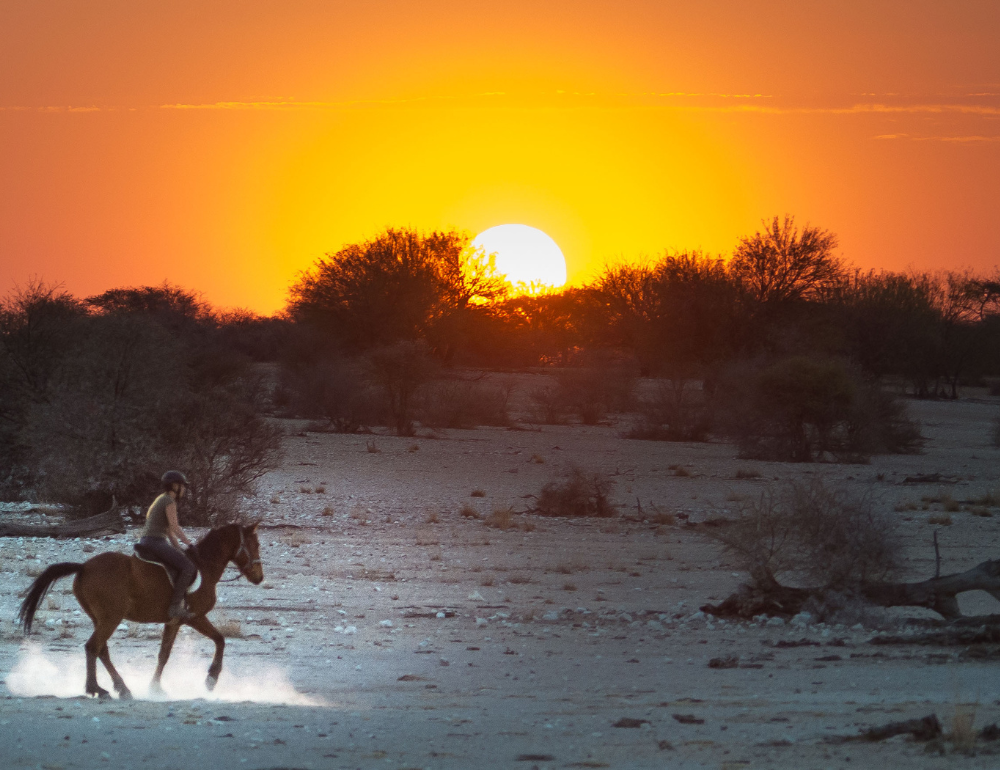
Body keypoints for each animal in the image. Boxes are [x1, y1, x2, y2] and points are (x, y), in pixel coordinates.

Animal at [20, 520, 262, 696]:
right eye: (256, 545)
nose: (259, 577)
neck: (204, 565)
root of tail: (84, 567)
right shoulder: (195, 617)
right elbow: (220, 640)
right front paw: (211, 679)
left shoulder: (174, 622)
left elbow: (164, 654)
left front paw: (155, 687)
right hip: (111, 618)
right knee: (93, 647)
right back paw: (96, 689)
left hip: (100, 619)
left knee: (102, 651)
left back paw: (121, 688)